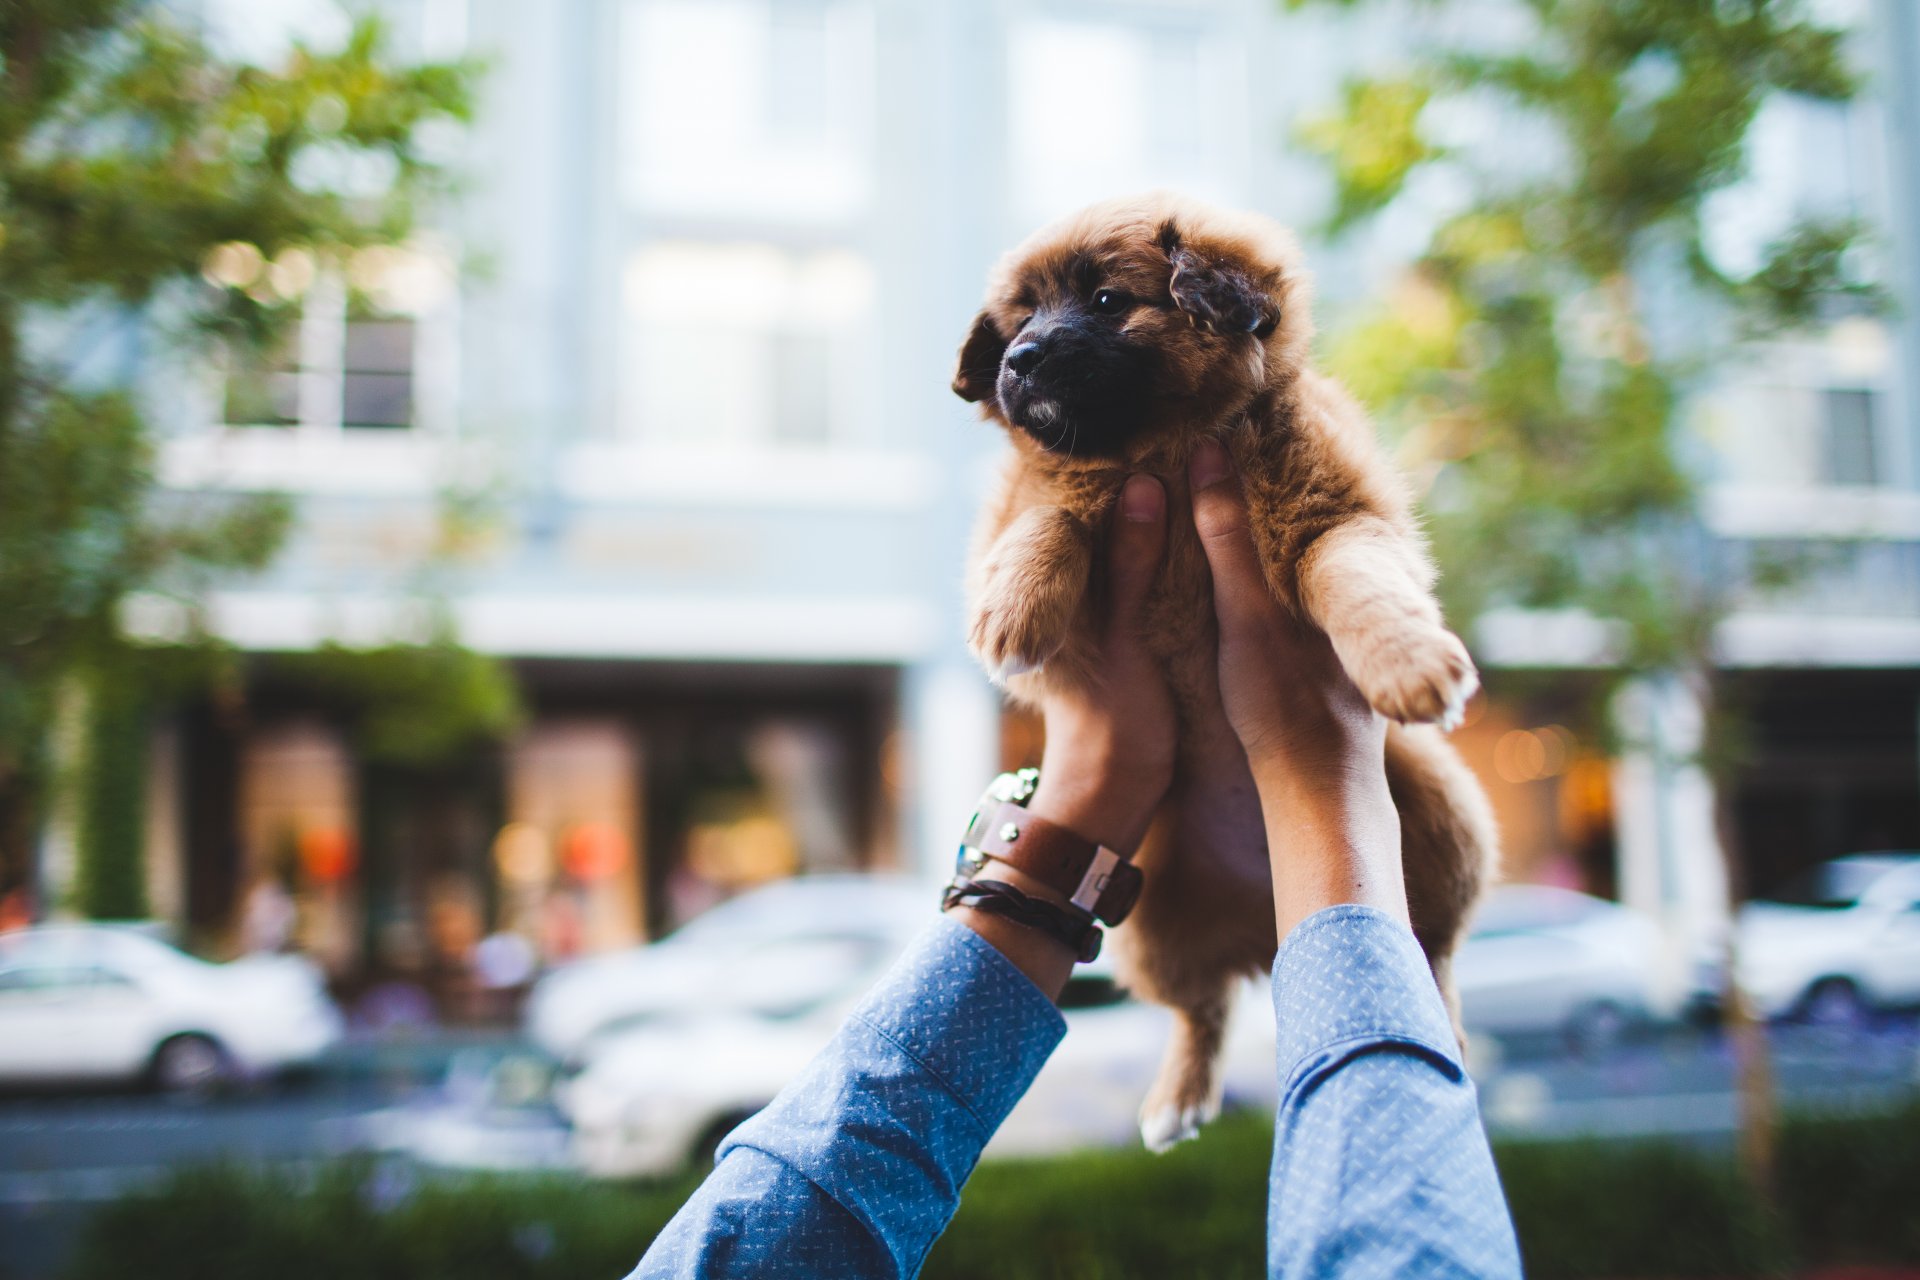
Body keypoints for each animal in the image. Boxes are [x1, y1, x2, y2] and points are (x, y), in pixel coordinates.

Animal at [956, 195, 1497, 1159]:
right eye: (1018, 324)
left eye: (1105, 300)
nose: (1020, 361)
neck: (1162, 450)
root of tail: (1264, 929)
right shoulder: (1047, 519)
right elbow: (1047, 514)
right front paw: (1013, 610)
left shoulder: (1334, 516)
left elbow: (1360, 579)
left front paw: (1408, 659)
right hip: (1146, 926)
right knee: (1198, 1012)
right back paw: (1178, 1096)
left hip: (1440, 815)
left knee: (1430, 948)